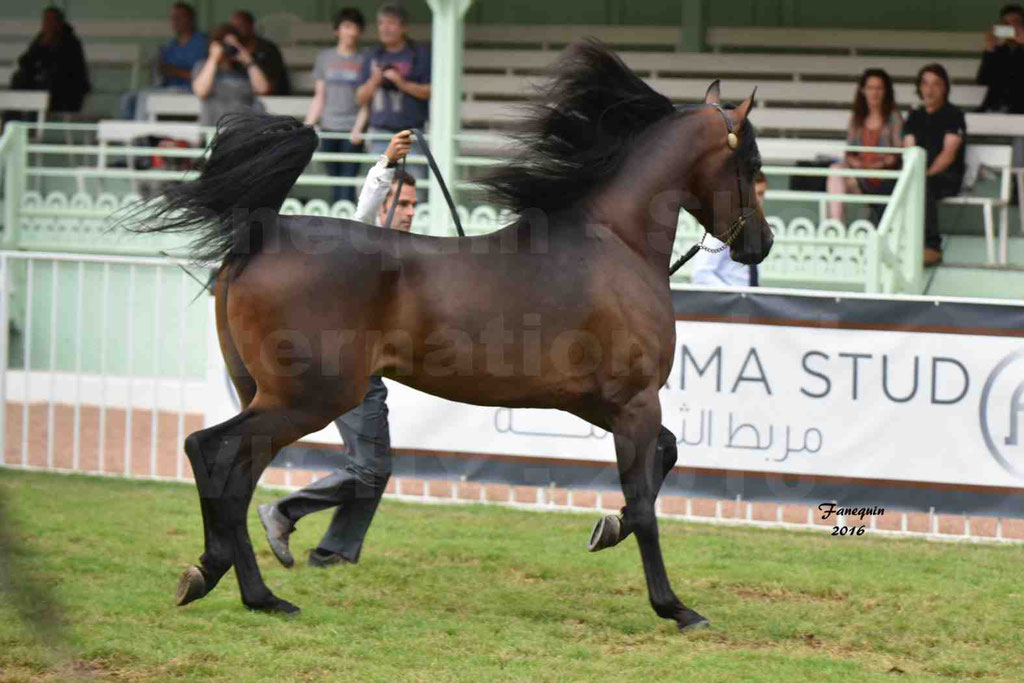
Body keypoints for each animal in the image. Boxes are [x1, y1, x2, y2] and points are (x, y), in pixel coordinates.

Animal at [140, 41, 770, 630]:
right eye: (750, 166)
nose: (758, 246)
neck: (616, 244)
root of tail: (263, 231)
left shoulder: (597, 402)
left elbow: (668, 453)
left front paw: (605, 527)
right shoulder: (634, 401)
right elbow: (644, 505)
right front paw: (675, 606)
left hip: (266, 393)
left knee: (233, 474)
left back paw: (243, 587)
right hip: (307, 398)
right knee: (212, 452)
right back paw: (228, 580)